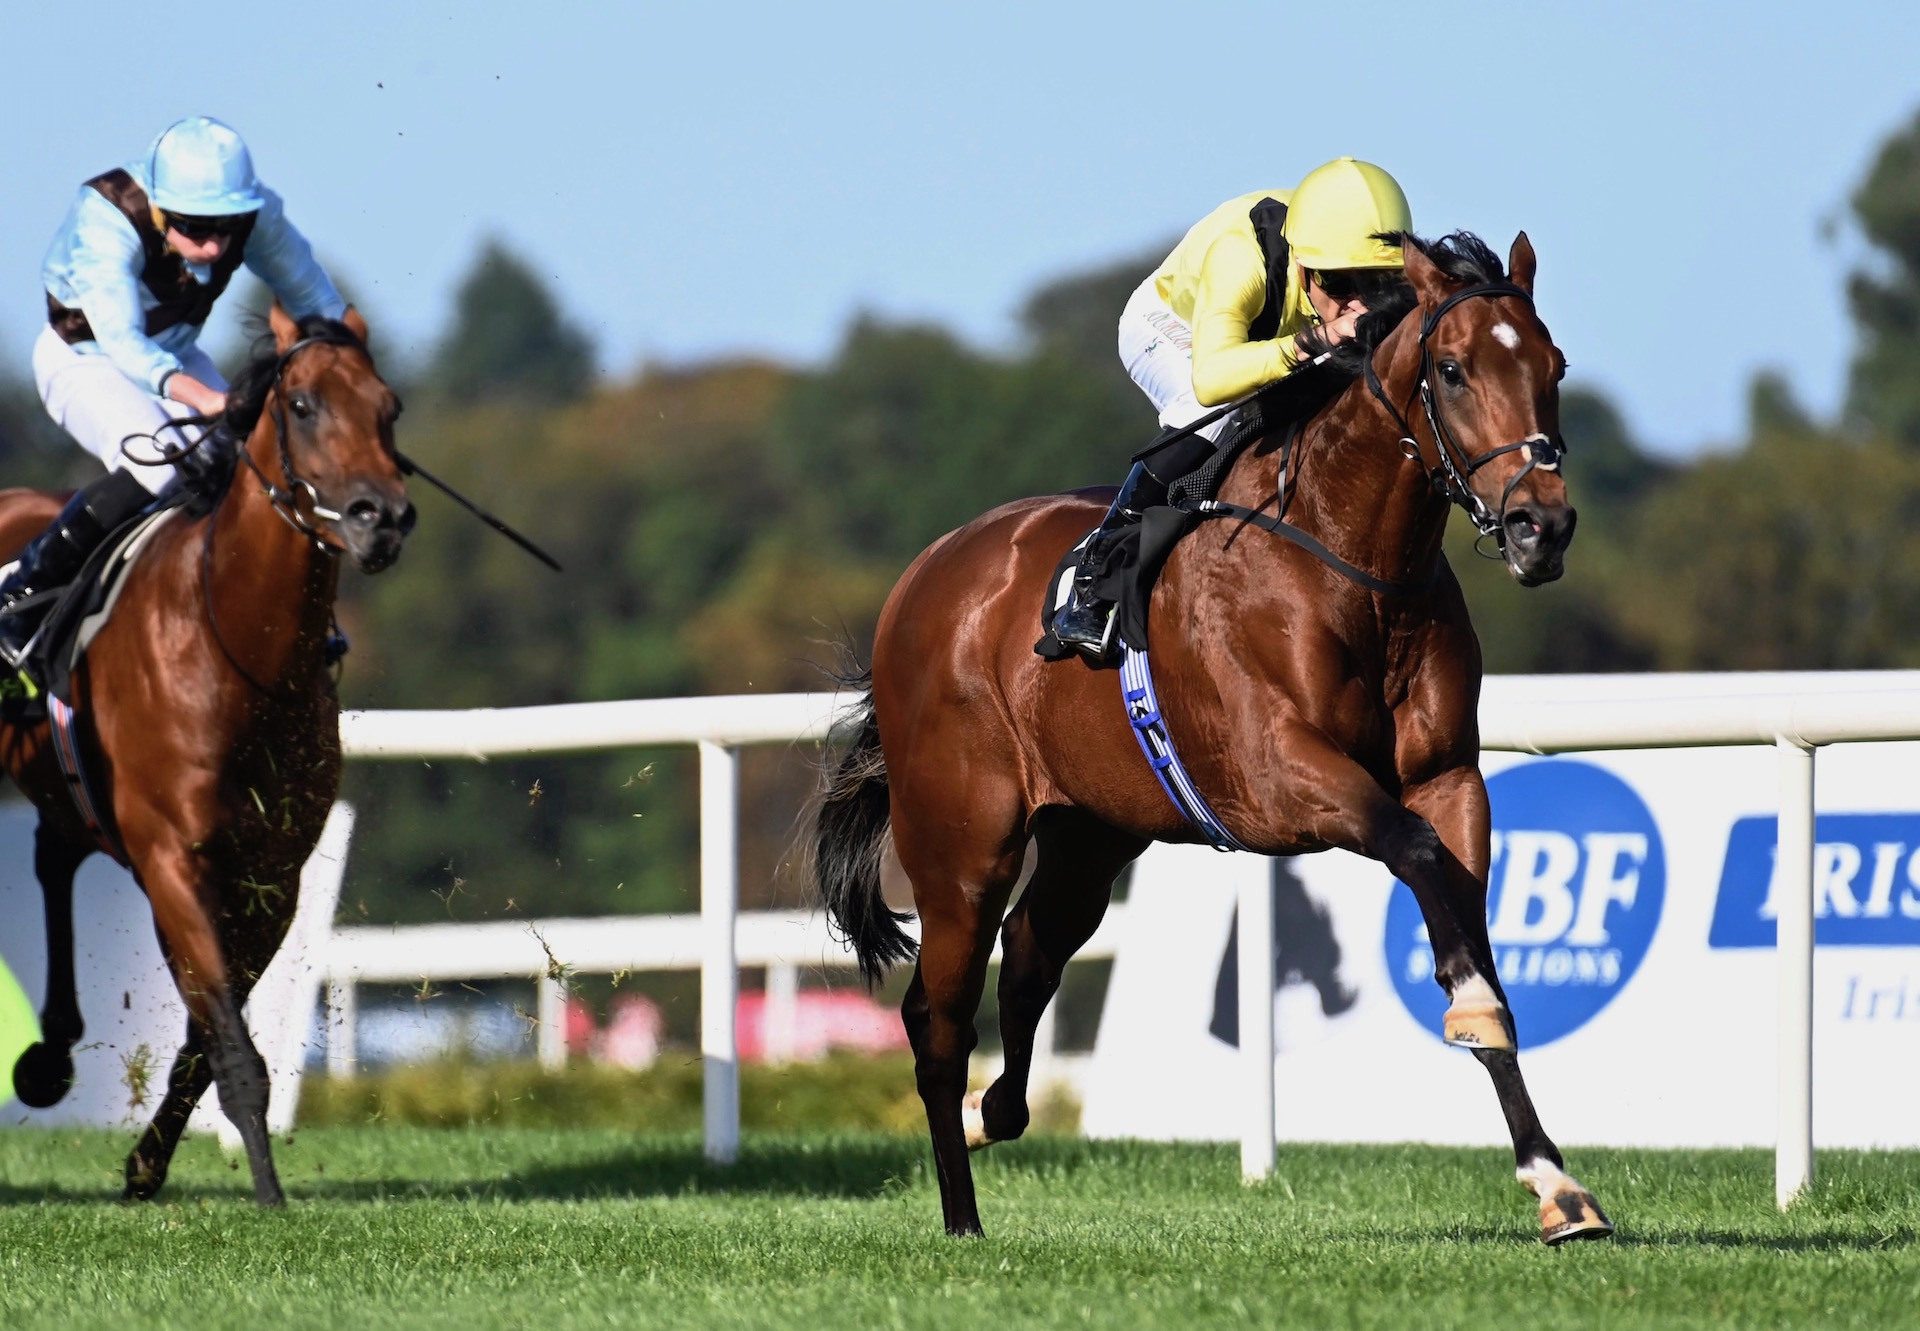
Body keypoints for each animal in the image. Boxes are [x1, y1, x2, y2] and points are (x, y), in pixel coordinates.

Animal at [4, 303, 412, 1206]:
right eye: (302, 405)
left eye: (390, 408)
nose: (382, 517)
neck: (239, 649)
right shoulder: (172, 860)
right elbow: (227, 1039)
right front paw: (269, 1194)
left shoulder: (270, 879)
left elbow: (205, 1039)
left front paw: (147, 1165)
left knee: (54, 851)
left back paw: (51, 1052)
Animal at [810, 231, 1605, 1244]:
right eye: (1455, 369)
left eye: (1554, 365)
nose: (1542, 526)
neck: (1357, 568)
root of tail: (922, 579)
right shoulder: (1281, 776)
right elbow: (1418, 854)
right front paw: (1465, 1010)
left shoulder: (1449, 776)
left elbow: (1467, 916)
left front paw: (1555, 1182)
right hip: (962, 847)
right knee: (938, 1017)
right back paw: (961, 1214)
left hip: (1091, 830)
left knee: (1029, 951)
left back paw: (999, 1113)